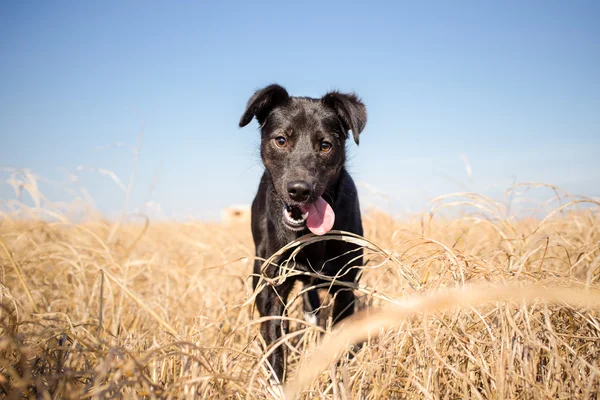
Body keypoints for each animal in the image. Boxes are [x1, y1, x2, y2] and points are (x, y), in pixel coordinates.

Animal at [239, 84, 366, 382]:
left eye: (325, 145)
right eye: (281, 140)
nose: (300, 190)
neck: (310, 235)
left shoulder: (345, 286)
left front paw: (337, 380)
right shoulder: (273, 289)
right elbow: (275, 343)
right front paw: (277, 384)